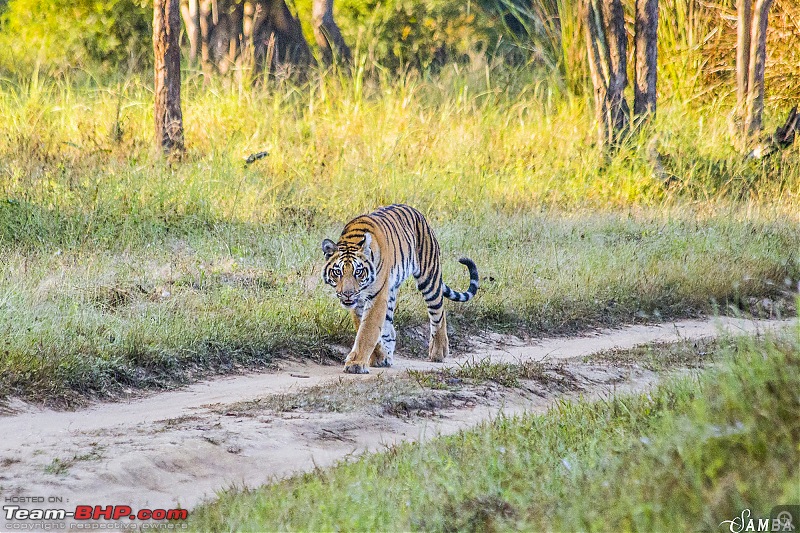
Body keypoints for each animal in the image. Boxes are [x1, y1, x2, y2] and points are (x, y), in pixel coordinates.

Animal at [320, 204, 482, 374]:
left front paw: (356, 364)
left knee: (439, 313)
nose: (348, 294)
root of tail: (417, 212)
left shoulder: (377, 296)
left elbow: (367, 331)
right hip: (392, 290)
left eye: (358, 272)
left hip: (429, 278)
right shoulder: (360, 302)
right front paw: (378, 357)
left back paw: (438, 352)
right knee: (390, 328)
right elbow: (365, 328)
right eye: (338, 272)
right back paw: (388, 355)